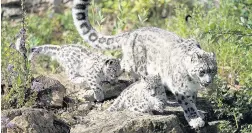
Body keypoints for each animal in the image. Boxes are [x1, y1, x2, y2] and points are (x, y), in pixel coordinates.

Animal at [72, 0, 218, 129]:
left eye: (213, 70)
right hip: (139, 66)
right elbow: (188, 104)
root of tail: (131, 33)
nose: (208, 82)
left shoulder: (192, 89)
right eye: (202, 71)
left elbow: (193, 100)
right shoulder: (181, 89)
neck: (194, 82)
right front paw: (195, 120)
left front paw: (199, 113)